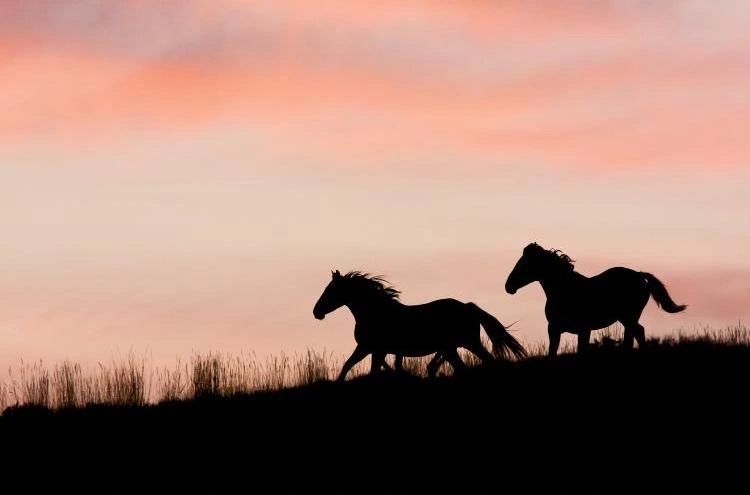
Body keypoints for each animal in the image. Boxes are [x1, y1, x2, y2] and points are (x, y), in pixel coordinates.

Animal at [313, 270, 526, 382]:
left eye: (330, 290)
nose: (316, 312)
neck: (375, 312)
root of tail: (467, 306)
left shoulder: (368, 348)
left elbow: (351, 366)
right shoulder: (376, 350)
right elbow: (368, 367)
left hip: (467, 343)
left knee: (483, 362)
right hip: (454, 347)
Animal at [504, 242, 686, 356]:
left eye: (524, 263)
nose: (508, 286)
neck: (564, 289)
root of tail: (640, 275)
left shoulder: (582, 329)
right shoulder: (555, 330)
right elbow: (552, 352)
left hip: (629, 317)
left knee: (633, 335)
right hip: (626, 318)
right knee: (638, 332)